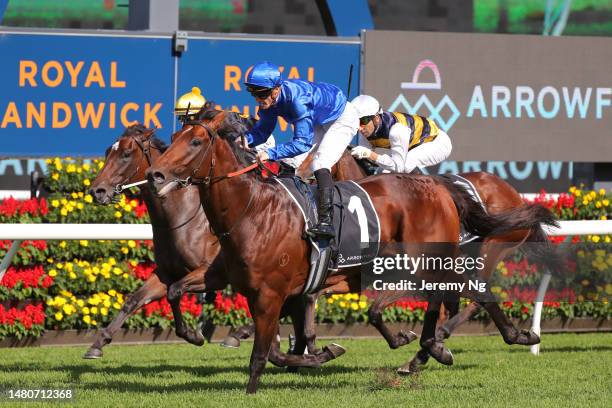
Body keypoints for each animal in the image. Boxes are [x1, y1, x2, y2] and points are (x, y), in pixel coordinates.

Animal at [146, 108, 556, 392]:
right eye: (175, 136)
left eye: (195, 142)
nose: (155, 175)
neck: (251, 209)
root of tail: (441, 188)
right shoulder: (234, 279)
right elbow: (176, 289)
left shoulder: (274, 292)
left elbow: (269, 351)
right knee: (453, 296)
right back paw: (435, 348)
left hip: (430, 259)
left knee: (467, 292)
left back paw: (498, 338)